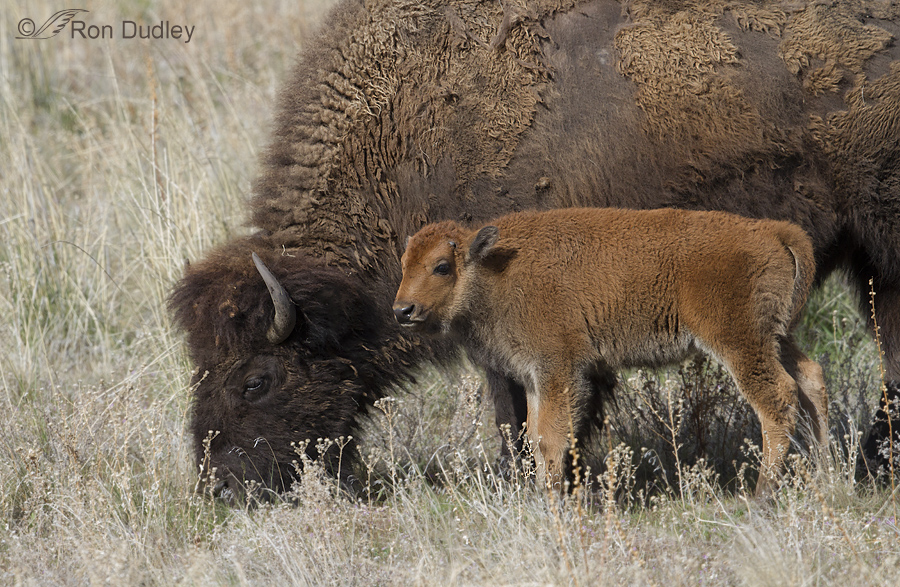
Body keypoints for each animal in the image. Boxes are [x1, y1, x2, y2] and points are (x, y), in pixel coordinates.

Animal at [170, 0, 900, 499]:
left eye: (256, 378)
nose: (221, 486)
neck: (409, 132)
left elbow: (516, 402)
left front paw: (534, 477)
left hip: (882, 243)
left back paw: (870, 463)